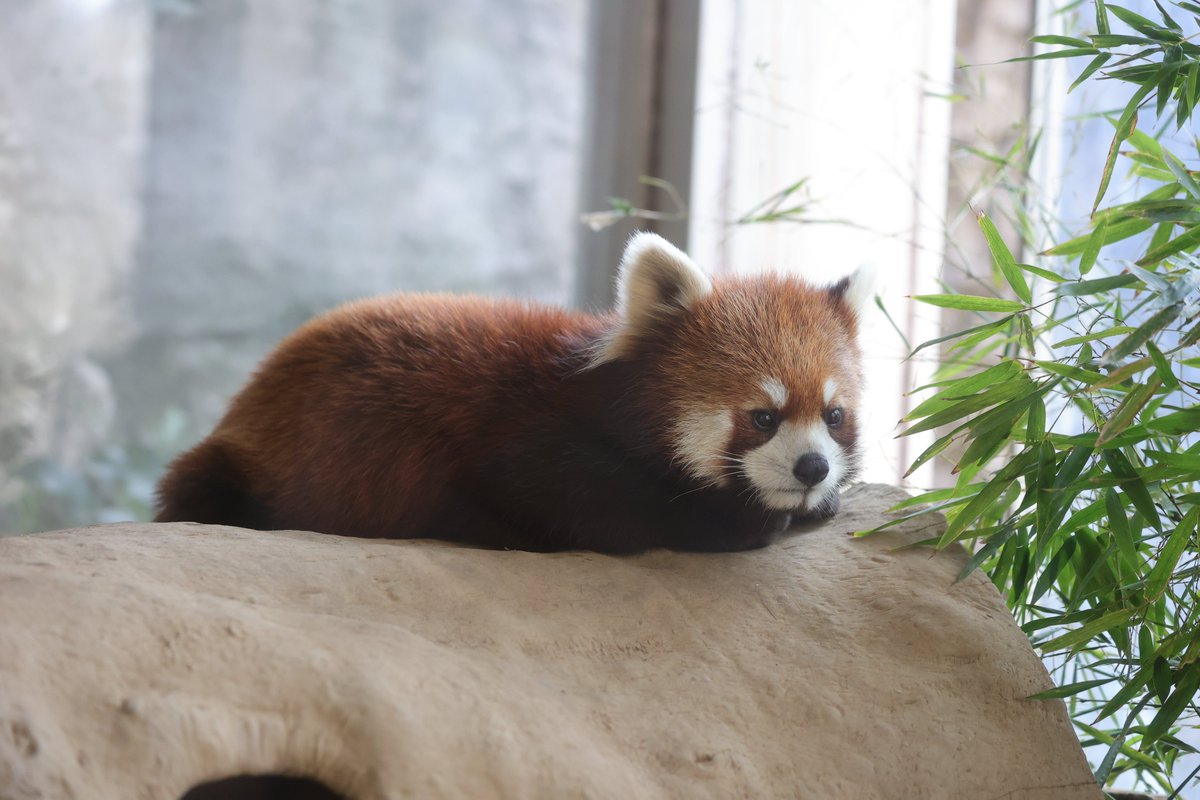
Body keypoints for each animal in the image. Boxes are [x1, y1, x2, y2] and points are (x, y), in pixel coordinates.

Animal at [159, 235, 873, 554]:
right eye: (762, 416)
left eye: (834, 415)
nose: (812, 468)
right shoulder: (524, 442)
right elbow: (587, 504)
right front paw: (735, 521)